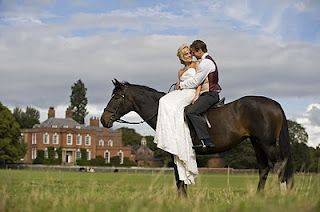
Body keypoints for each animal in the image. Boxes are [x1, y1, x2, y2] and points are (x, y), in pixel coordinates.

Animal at [101, 79, 294, 197]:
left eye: (116, 97)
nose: (103, 120)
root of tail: (274, 104)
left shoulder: (176, 152)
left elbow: (179, 178)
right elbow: (179, 178)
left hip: (267, 144)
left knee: (280, 166)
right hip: (257, 143)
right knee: (264, 168)